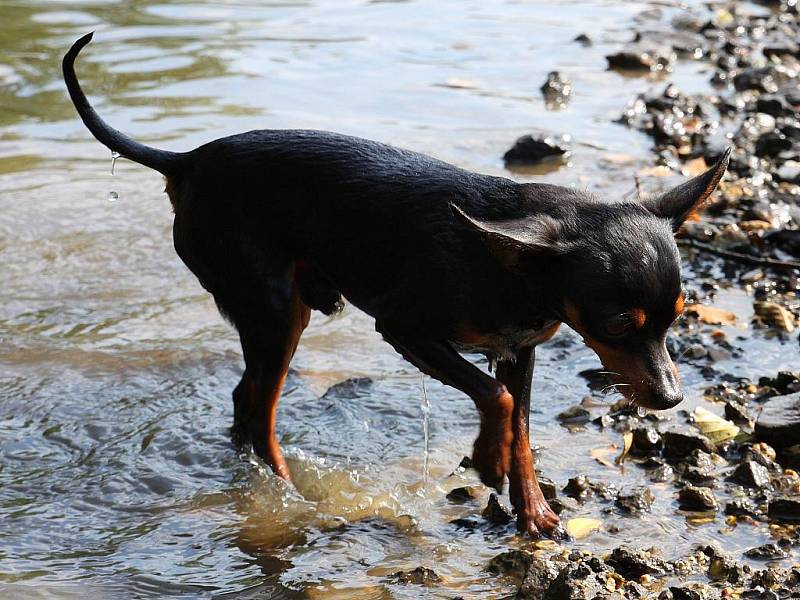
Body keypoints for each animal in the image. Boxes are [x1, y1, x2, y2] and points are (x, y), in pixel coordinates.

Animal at [65, 35, 732, 536]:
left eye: (679, 317)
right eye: (617, 324)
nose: (672, 399)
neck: (511, 265)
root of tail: (185, 162)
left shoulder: (519, 349)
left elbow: (520, 427)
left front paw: (534, 513)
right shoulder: (407, 330)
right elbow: (498, 400)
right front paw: (486, 461)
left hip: (283, 310)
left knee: (244, 400)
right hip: (276, 312)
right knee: (259, 413)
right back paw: (286, 494)